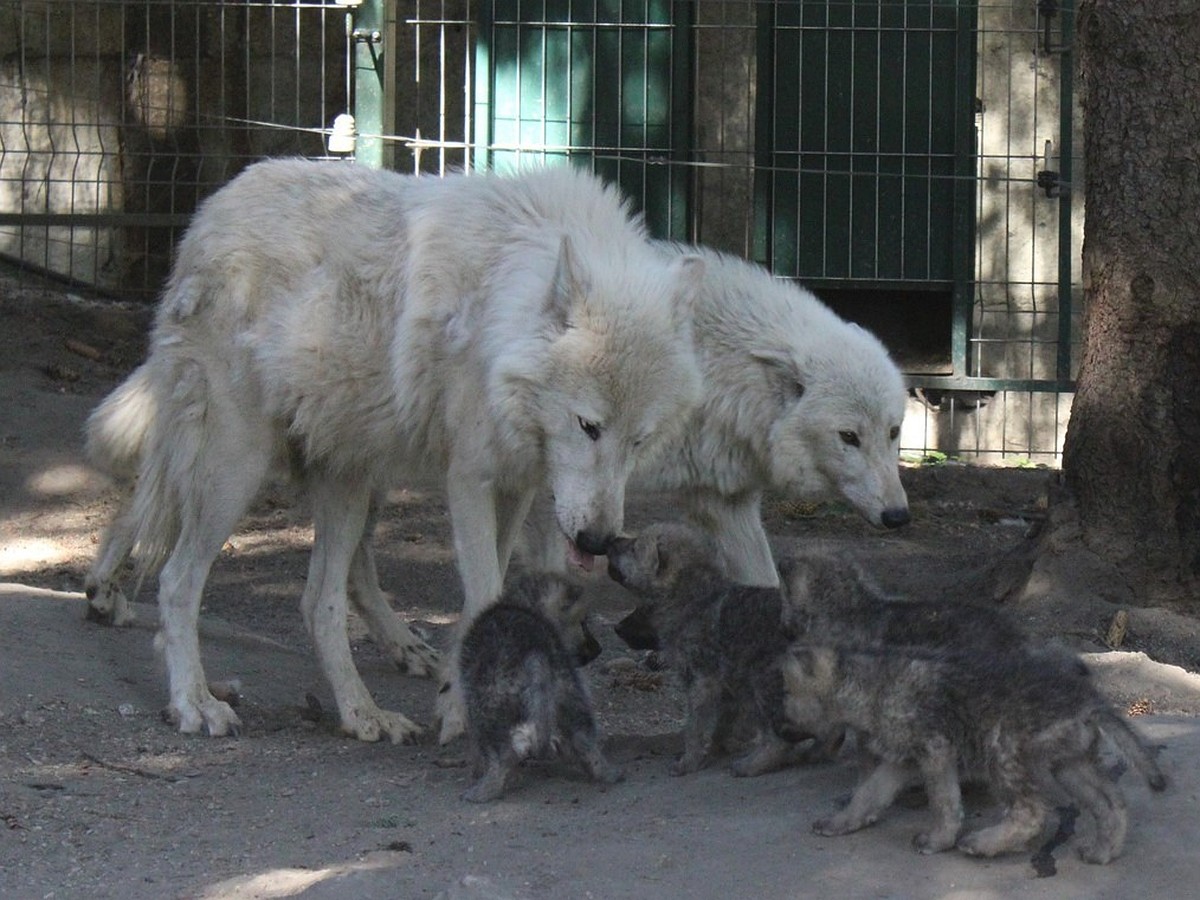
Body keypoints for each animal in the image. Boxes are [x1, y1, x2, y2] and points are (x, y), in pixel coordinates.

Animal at [88, 160, 705, 748]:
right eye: (589, 426)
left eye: (639, 440)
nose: (598, 541)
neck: (503, 303)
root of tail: (207, 215)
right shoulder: (471, 479)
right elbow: (484, 592)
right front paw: (464, 714)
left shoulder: (519, 486)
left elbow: (488, 595)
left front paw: (459, 696)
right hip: (236, 468)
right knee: (177, 576)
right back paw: (192, 700)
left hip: (350, 475)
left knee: (320, 599)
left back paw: (365, 713)